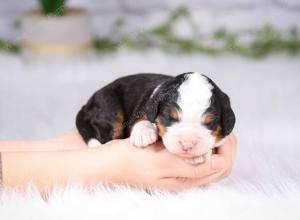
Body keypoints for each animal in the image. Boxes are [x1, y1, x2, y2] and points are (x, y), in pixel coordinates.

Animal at [76, 73, 236, 164]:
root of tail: (86, 105)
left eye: (210, 123)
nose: (187, 144)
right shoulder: (145, 105)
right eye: (170, 117)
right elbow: (140, 120)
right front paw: (144, 135)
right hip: (109, 108)